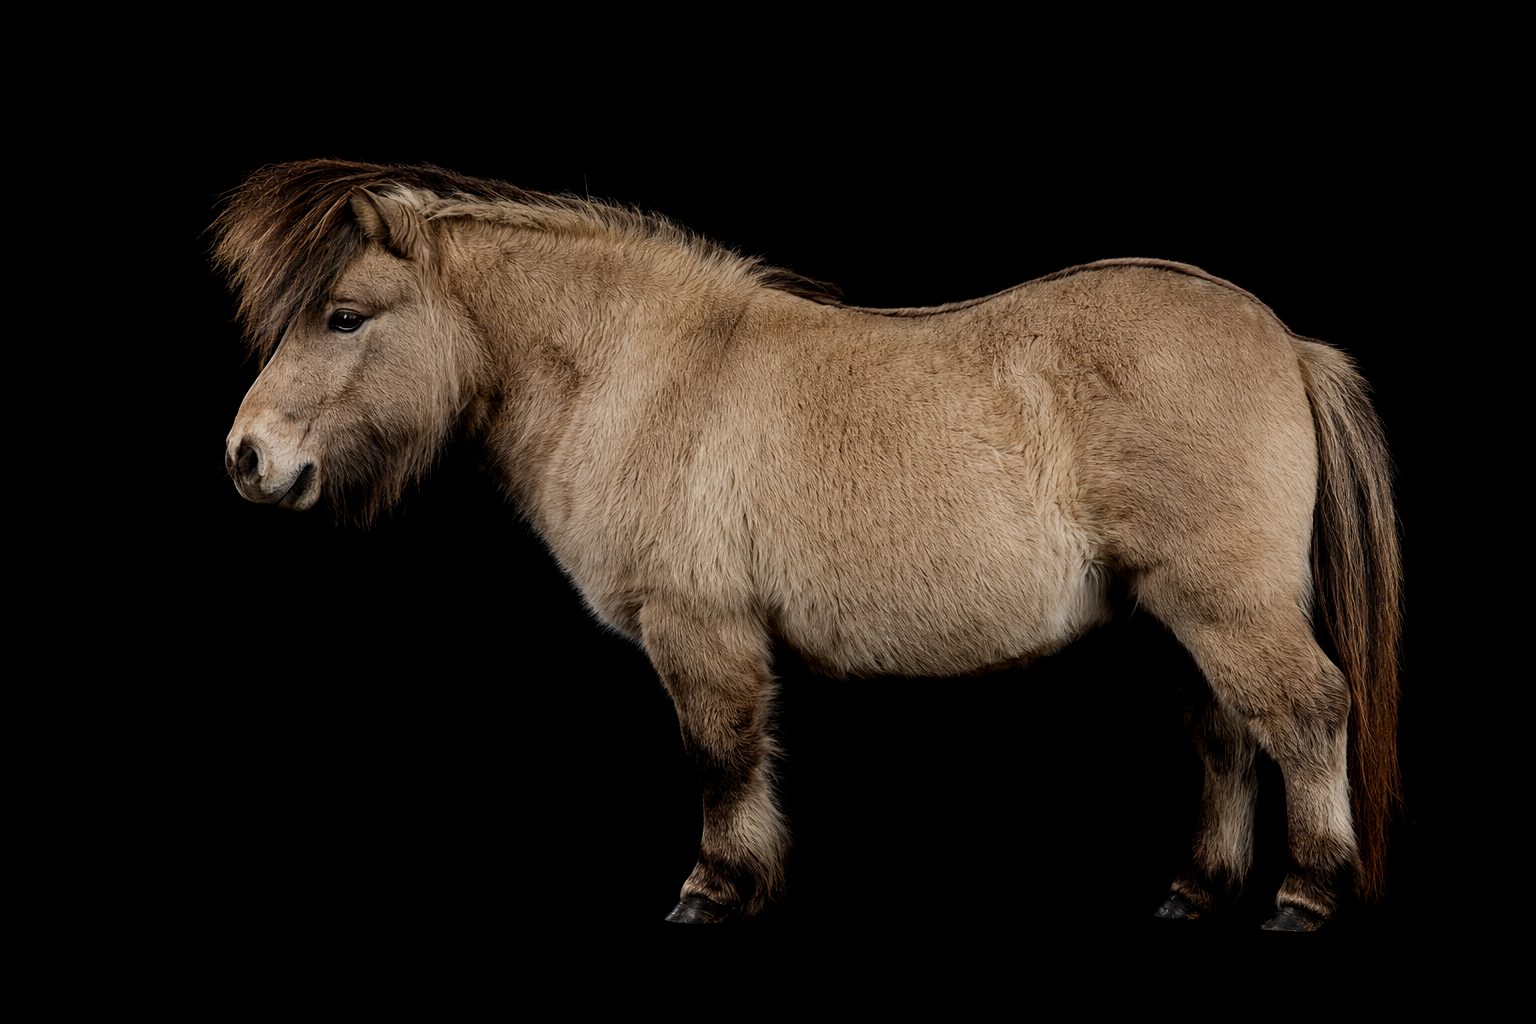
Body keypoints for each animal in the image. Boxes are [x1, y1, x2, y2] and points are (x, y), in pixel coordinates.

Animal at [215, 159, 1400, 930]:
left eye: (345, 315)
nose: (248, 457)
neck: (647, 372)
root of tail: (1282, 338)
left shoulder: (699, 631)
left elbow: (721, 757)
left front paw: (714, 889)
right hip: (1177, 619)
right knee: (1223, 738)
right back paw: (1196, 891)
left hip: (1226, 606)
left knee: (1304, 715)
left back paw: (1307, 894)